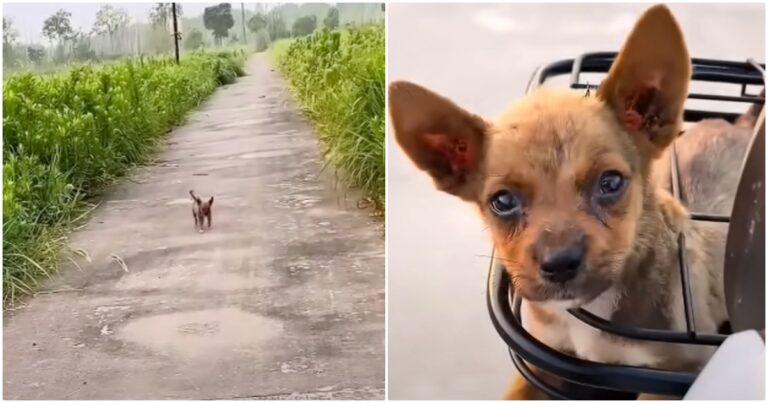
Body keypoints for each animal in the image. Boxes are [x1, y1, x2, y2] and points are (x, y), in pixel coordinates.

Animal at [392, 3, 764, 400]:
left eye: (610, 182)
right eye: (502, 201)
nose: (559, 264)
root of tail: (742, 123)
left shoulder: (672, 376)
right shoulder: (541, 362)